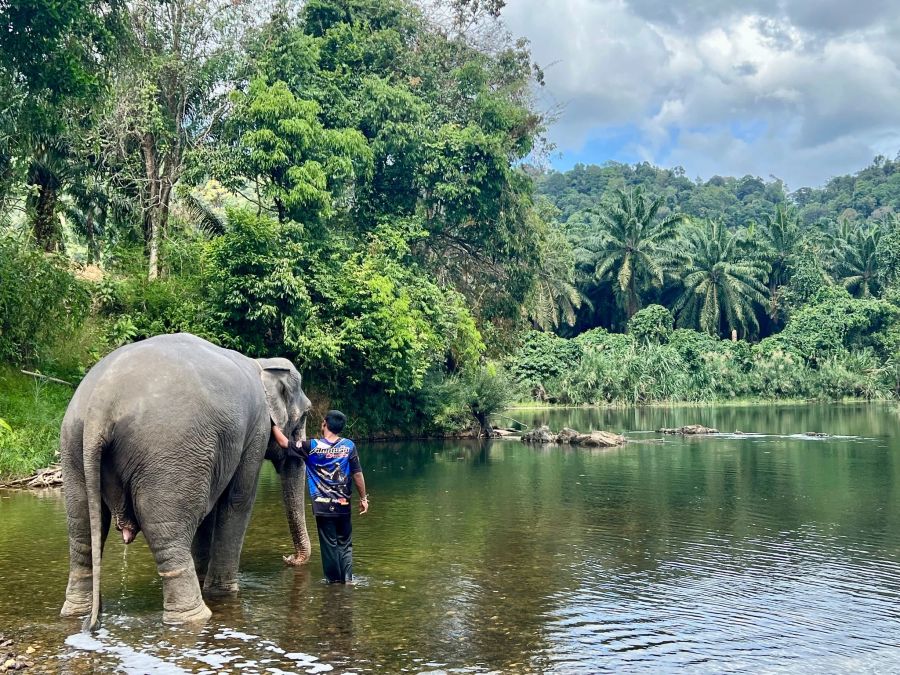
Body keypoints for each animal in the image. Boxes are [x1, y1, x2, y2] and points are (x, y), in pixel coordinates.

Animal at [59, 332, 312, 628]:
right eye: (305, 415)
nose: (288, 558)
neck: (262, 363)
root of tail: (101, 405)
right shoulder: (256, 431)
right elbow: (237, 501)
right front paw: (223, 592)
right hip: (167, 454)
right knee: (169, 532)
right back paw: (193, 616)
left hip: (73, 446)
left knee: (82, 529)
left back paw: (77, 612)